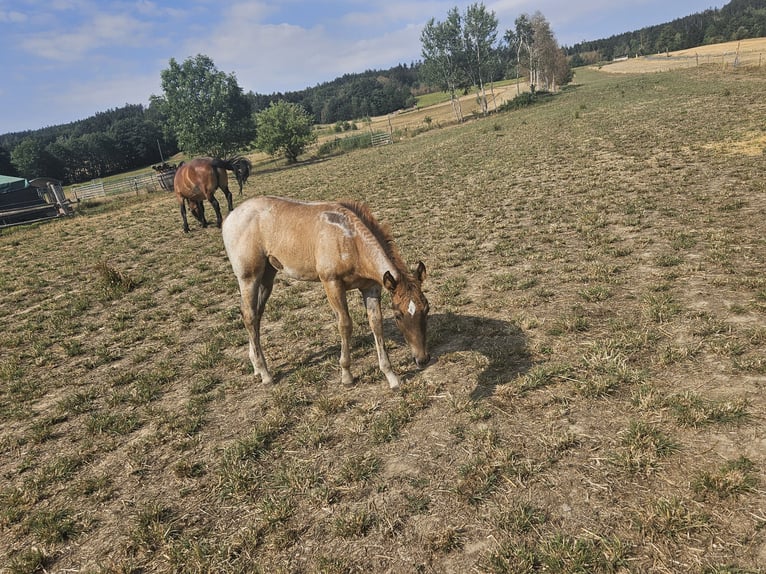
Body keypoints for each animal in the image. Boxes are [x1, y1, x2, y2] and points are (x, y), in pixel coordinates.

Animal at [222, 196, 430, 389]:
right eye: (398, 315)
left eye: (426, 309)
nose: (422, 359)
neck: (350, 241)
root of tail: (230, 217)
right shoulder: (332, 283)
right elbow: (345, 325)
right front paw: (346, 375)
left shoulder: (371, 287)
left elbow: (376, 323)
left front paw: (391, 376)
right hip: (249, 277)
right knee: (249, 315)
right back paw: (265, 374)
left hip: (267, 275)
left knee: (255, 315)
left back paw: (256, 367)